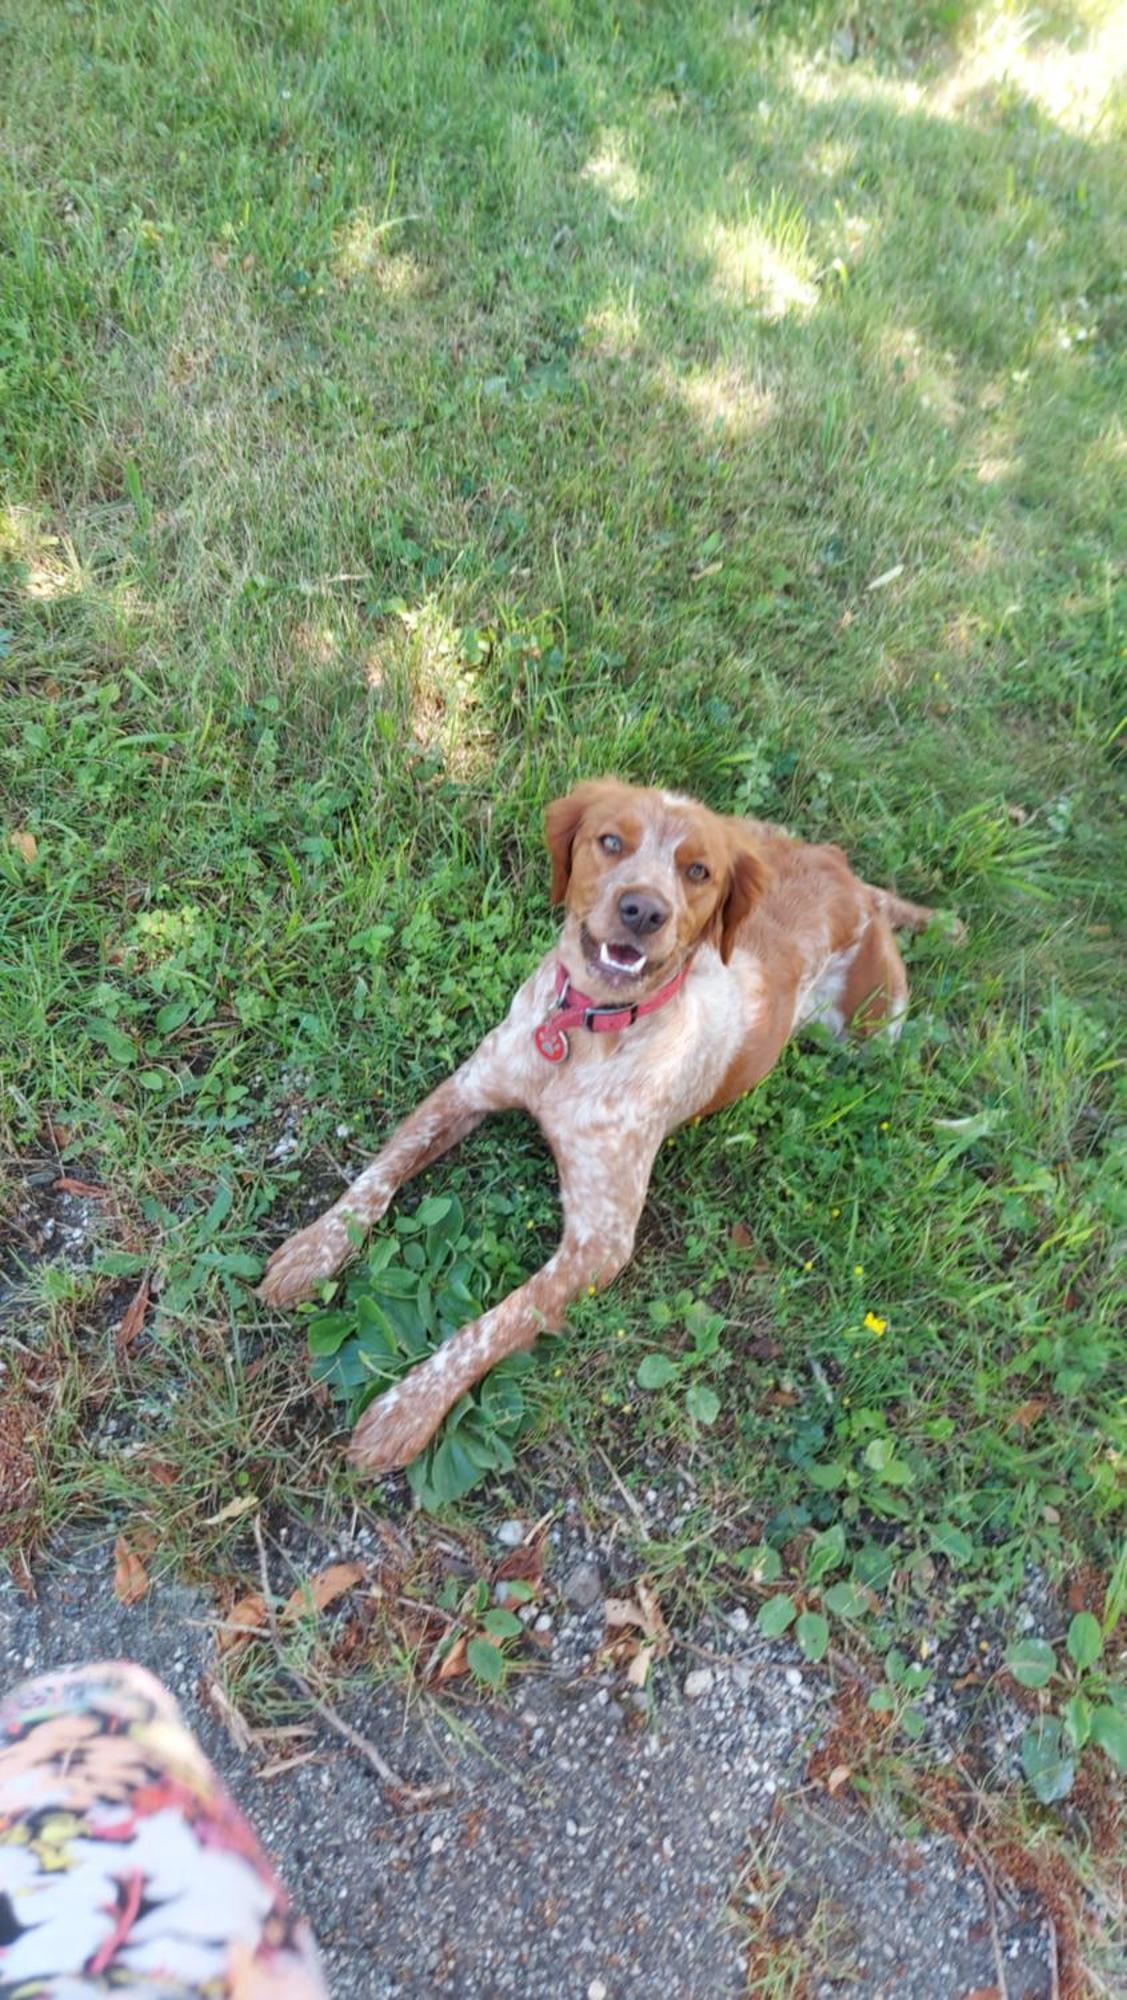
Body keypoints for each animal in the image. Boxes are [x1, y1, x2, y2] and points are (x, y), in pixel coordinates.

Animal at [257, 780, 951, 1472]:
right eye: (611, 841)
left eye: (697, 871)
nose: (643, 911)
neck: (585, 1032)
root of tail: (844, 879)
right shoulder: (465, 1090)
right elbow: (376, 1179)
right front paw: (313, 1251)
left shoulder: (601, 1241)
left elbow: (498, 1320)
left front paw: (409, 1408)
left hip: (873, 1031)